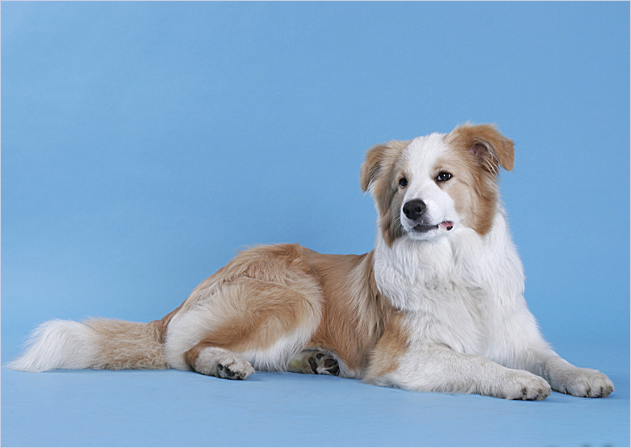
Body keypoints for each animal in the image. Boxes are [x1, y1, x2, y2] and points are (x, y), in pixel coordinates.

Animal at [10, 123, 614, 400]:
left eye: (444, 177)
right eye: (401, 184)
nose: (413, 208)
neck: (452, 268)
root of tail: (192, 291)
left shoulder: (521, 335)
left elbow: (554, 360)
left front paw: (585, 377)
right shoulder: (405, 358)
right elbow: (477, 363)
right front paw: (517, 381)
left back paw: (316, 360)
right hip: (297, 294)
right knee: (185, 351)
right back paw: (226, 364)